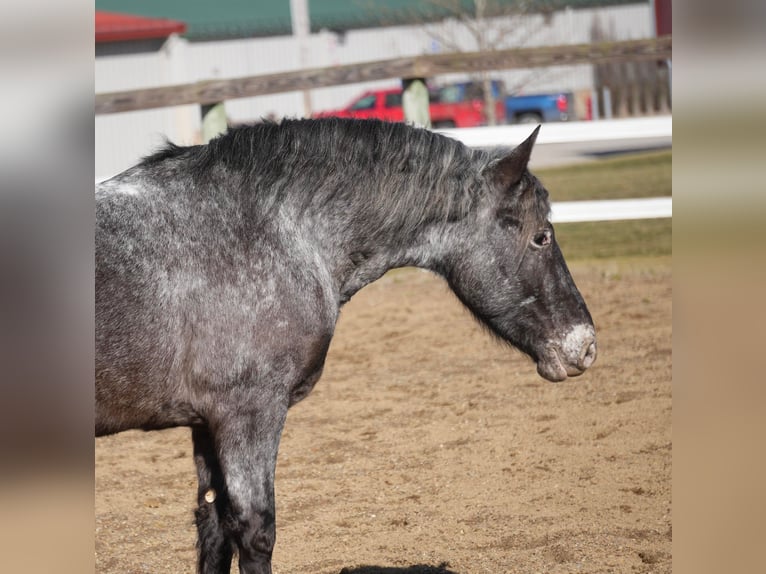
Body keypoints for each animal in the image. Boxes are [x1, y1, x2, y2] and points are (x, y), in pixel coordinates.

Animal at [96, 117, 596, 574]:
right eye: (541, 236)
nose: (586, 344)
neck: (267, 230)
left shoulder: (206, 423)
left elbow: (214, 529)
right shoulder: (248, 414)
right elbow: (256, 531)